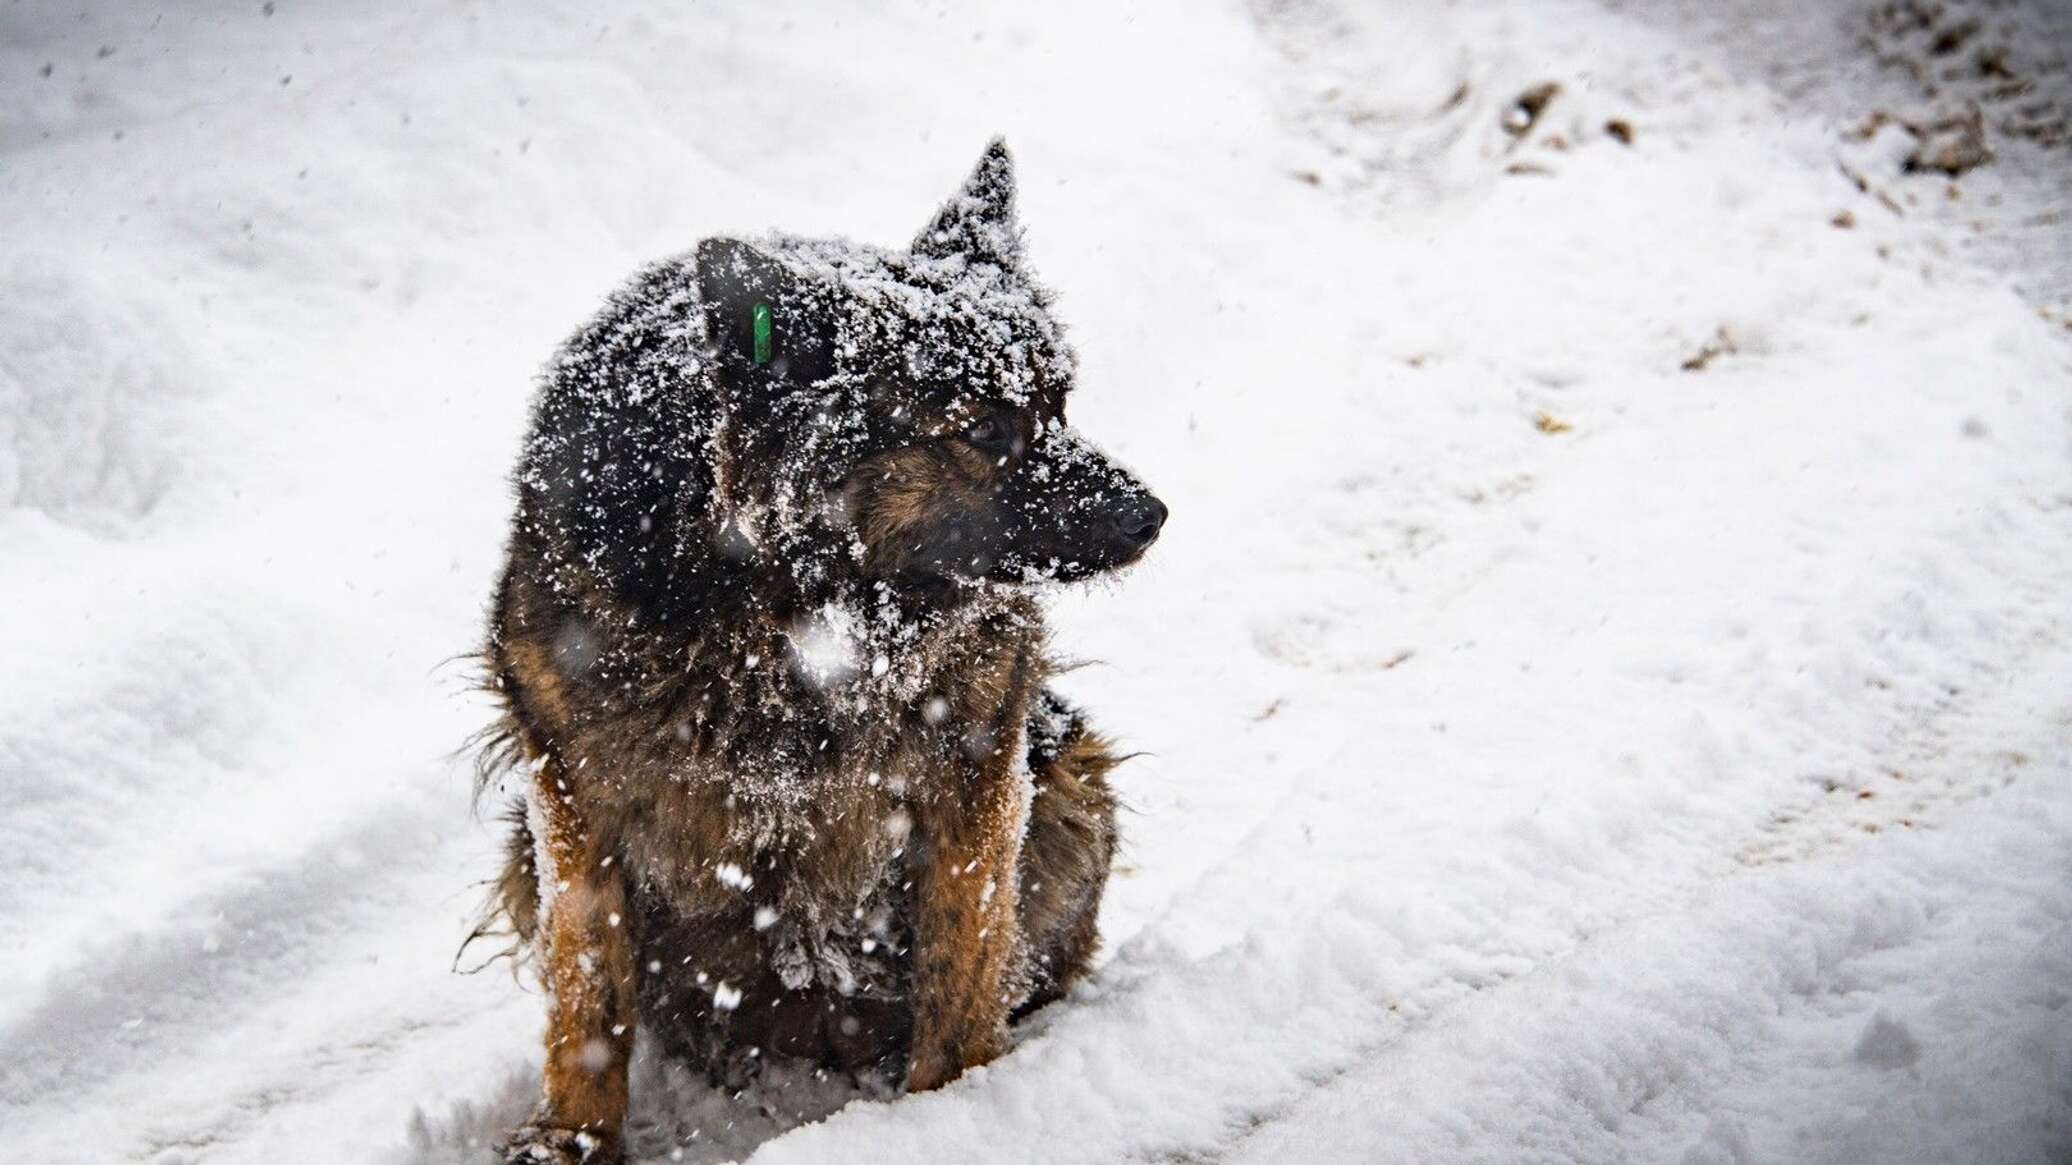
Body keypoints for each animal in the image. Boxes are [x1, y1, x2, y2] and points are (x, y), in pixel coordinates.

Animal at [474, 140, 1176, 1152]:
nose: (1151, 515)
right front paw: (571, 1137)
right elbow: (586, 994)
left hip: (1071, 774)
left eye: (1057, 404)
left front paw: (954, 1105)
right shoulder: (572, 789)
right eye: (984, 429)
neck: (787, 612)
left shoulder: (973, 762)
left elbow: (963, 962)